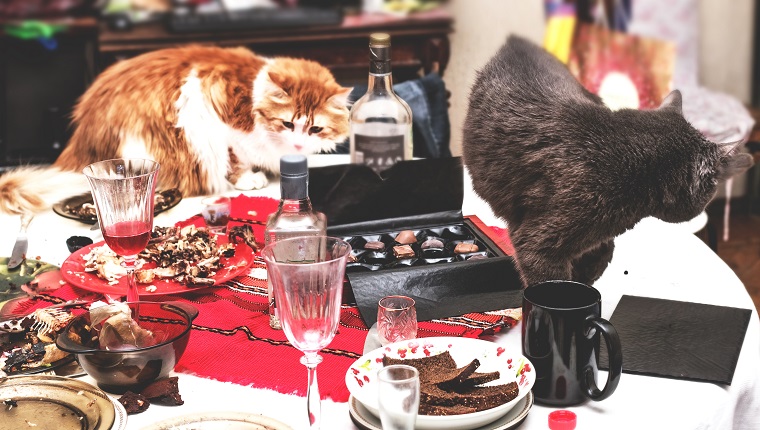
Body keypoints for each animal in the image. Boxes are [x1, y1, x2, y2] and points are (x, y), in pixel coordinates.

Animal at [0, 44, 352, 215]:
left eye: (315, 128)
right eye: (287, 123)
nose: (298, 145)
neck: (252, 93)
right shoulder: (218, 116)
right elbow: (236, 158)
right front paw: (248, 179)